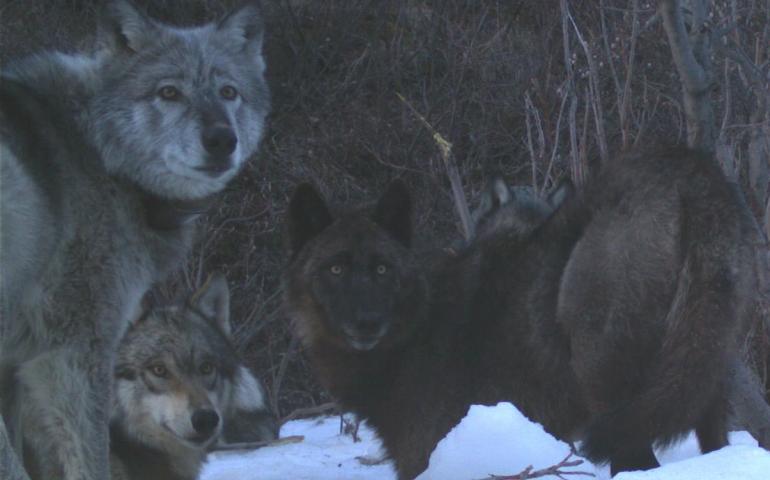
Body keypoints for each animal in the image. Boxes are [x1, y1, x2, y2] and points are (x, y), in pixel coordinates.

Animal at [285, 147, 755, 479]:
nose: (367, 322)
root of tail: (685, 165)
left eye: (382, 269)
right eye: (336, 268)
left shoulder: (425, 453)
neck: (416, 325)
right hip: (703, 385)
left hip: (609, 392)